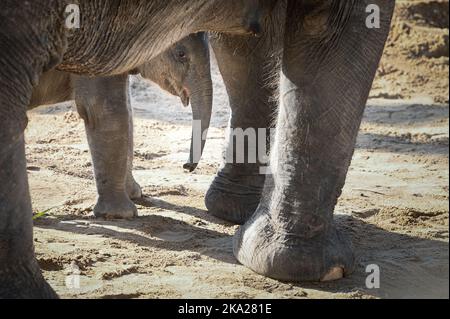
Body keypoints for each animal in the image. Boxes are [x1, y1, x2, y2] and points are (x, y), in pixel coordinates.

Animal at [29, 33, 212, 220]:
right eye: (181, 54)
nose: (187, 166)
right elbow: (108, 111)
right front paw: (120, 214)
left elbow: (128, 110)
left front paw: (135, 194)